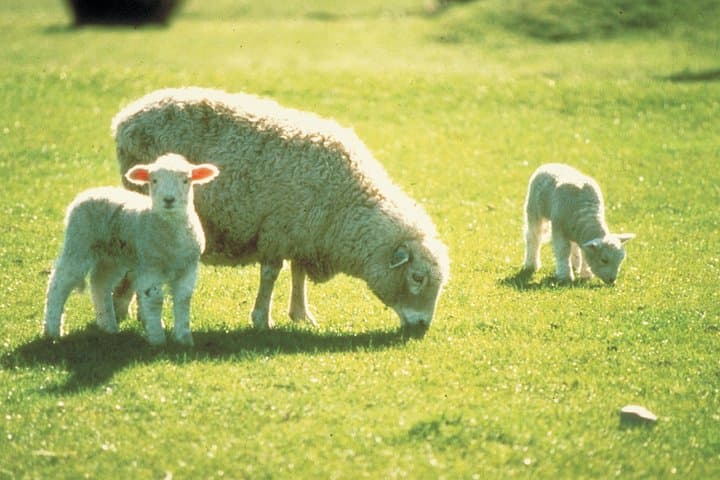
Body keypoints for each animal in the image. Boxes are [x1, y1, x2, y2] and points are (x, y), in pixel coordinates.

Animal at [43, 153, 219, 346]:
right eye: (154, 180)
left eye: (186, 180)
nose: (168, 200)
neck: (171, 239)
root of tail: (89, 192)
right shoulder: (150, 265)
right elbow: (154, 300)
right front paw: (157, 339)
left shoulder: (188, 267)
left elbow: (183, 300)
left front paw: (184, 339)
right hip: (78, 243)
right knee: (59, 283)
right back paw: (52, 331)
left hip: (111, 257)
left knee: (100, 283)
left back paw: (108, 326)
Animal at [111, 87, 450, 330]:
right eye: (417, 277)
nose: (423, 326)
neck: (347, 202)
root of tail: (125, 118)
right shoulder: (277, 228)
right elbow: (271, 274)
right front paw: (263, 318)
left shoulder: (303, 232)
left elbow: (298, 274)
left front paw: (301, 314)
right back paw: (132, 312)